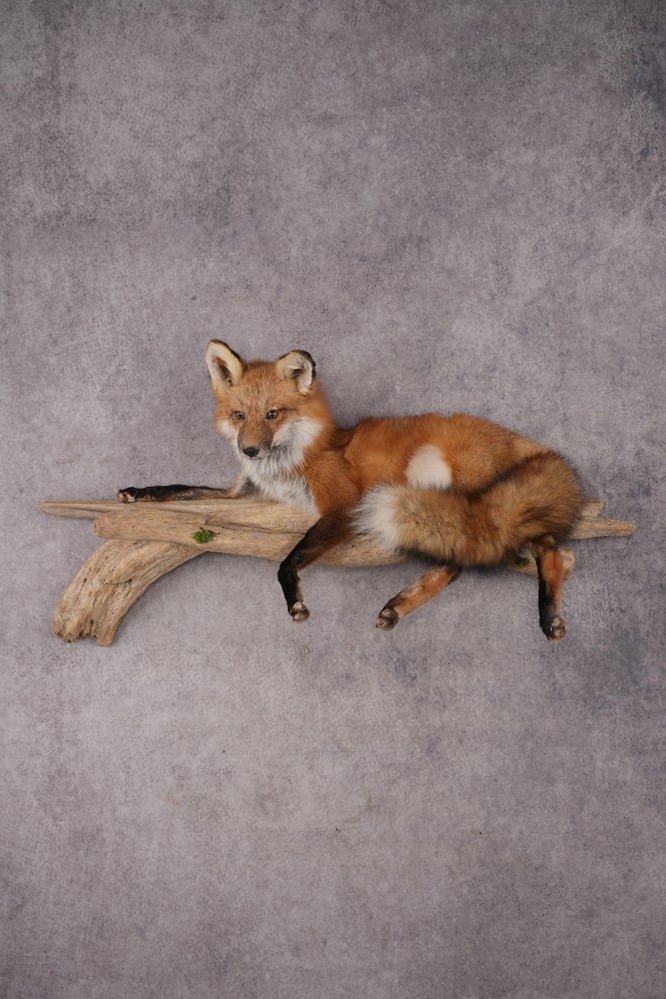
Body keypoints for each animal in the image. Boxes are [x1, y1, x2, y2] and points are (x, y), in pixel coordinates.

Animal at [117, 341, 583, 639]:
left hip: (446, 482)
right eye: (239, 415)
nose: (248, 450)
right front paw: (137, 493)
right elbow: (181, 488)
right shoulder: (241, 497)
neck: (289, 464)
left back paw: (546, 615)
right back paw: (401, 607)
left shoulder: (341, 504)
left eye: (272, 414)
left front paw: (295, 601)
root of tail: (531, 444)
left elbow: (288, 561)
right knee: (483, 555)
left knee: (512, 548)